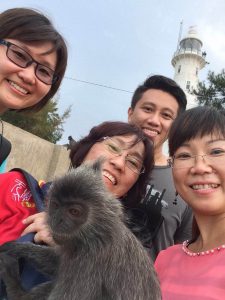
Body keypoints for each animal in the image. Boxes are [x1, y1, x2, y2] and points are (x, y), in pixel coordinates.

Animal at [0, 161, 162, 298]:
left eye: (74, 212)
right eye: (55, 205)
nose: (56, 220)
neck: (97, 235)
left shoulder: (91, 262)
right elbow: (58, 264)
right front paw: (17, 247)